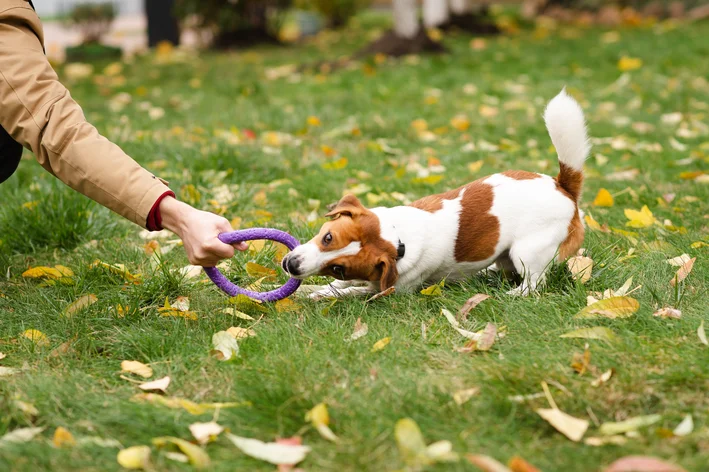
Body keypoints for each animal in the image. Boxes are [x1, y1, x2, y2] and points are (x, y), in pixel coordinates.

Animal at [282, 90, 592, 296]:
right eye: (328, 237)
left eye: (339, 267)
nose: (292, 265)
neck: (399, 240)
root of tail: (563, 184)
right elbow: (331, 288)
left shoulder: (389, 289)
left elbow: (343, 292)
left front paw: (316, 295)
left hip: (527, 252)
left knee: (534, 283)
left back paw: (514, 295)